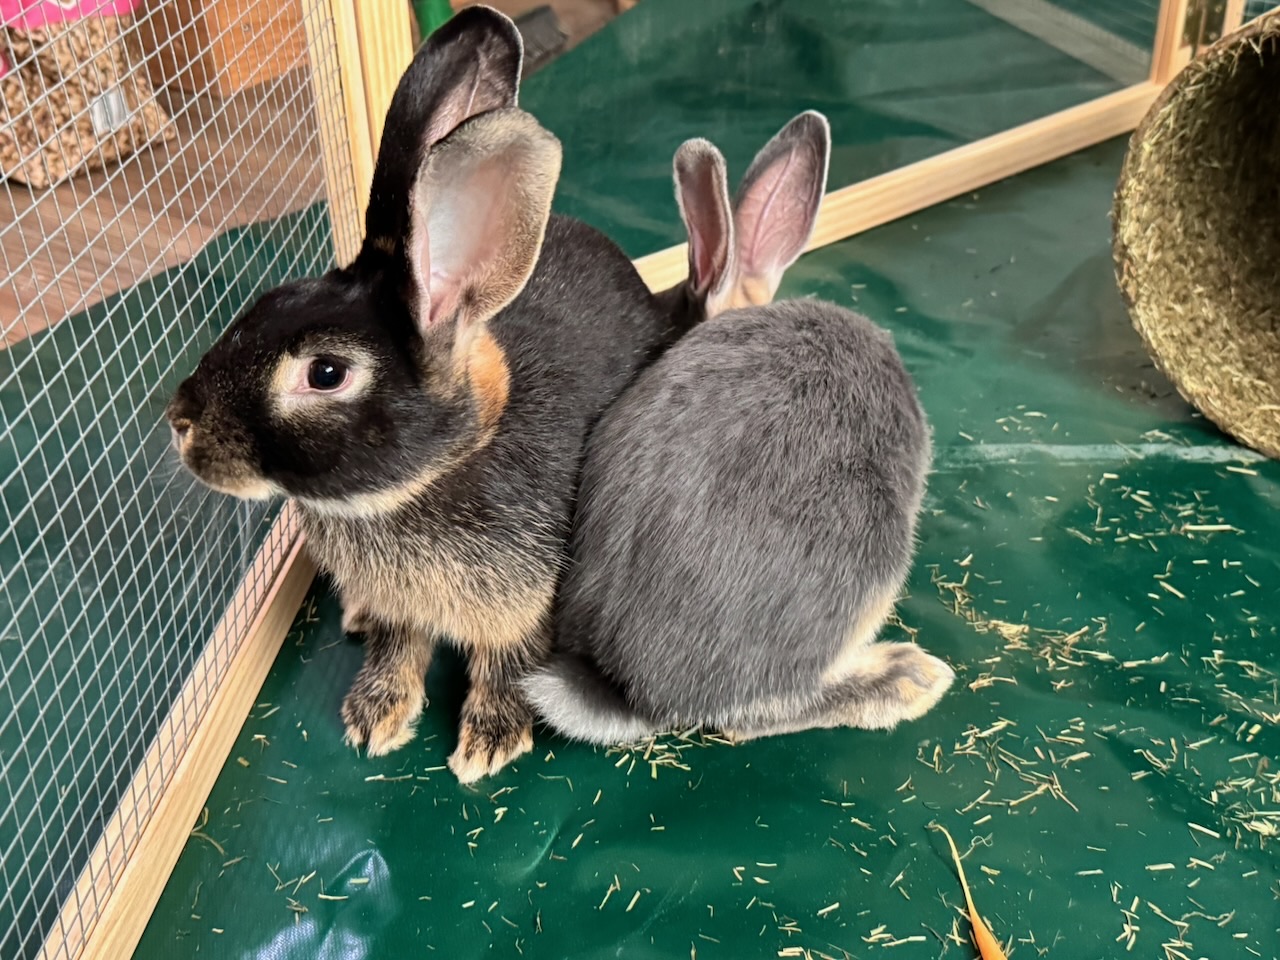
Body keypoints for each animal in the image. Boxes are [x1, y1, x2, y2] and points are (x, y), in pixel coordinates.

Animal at [165, 7, 689, 783]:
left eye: (326, 373)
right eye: (266, 301)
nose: (181, 421)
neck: (435, 469)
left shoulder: (525, 604)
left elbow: (507, 662)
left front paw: (489, 741)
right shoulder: (403, 610)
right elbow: (397, 646)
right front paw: (375, 714)